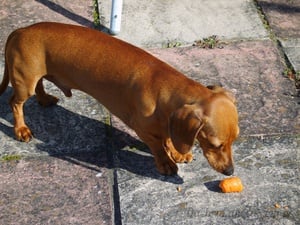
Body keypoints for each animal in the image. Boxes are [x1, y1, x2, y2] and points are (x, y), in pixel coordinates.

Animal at [0, 22, 239, 176]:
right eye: (215, 144)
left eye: (234, 140)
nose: (230, 171)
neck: (164, 87)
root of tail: (20, 30)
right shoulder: (142, 129)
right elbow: (158, 147)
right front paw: (166, 163)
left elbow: (168, 139)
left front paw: (177, 153)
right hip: (24, 82)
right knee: (15, 103)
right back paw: (21, 130)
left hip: (33, 77)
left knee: (38, 87)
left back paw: (44, 99)